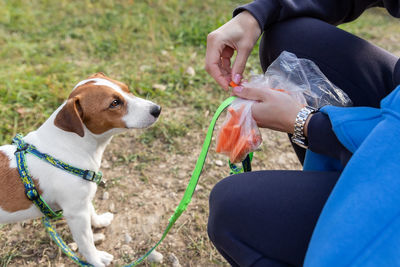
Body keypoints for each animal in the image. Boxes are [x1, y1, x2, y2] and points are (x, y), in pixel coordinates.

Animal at [0, 72, 161, 266]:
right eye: (114, 103)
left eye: (127, 89)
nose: (157, 109)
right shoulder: (75, 214)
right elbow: (87, 244)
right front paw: (97, 261)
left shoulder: (83, 201)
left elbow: (92, 211)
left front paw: (99, 221)